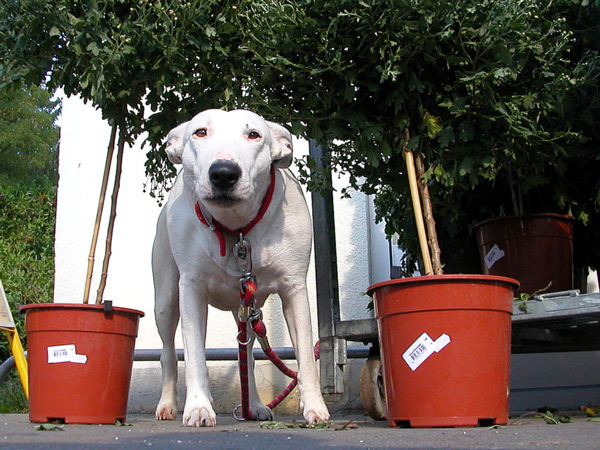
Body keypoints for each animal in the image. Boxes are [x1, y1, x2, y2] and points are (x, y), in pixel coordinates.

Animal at [150, 108, 328, 426]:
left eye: (254, 135)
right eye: (200, 132)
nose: (223, 173)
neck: (236, 228)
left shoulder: (294, 288)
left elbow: (306, 356)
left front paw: (315, 408)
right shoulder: (191, 288)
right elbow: (195, 356)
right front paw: (198, 407)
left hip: (247, 307)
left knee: (248, 354)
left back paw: (253, 405)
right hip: (167, 299)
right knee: (169, 353)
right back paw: (168, 405)